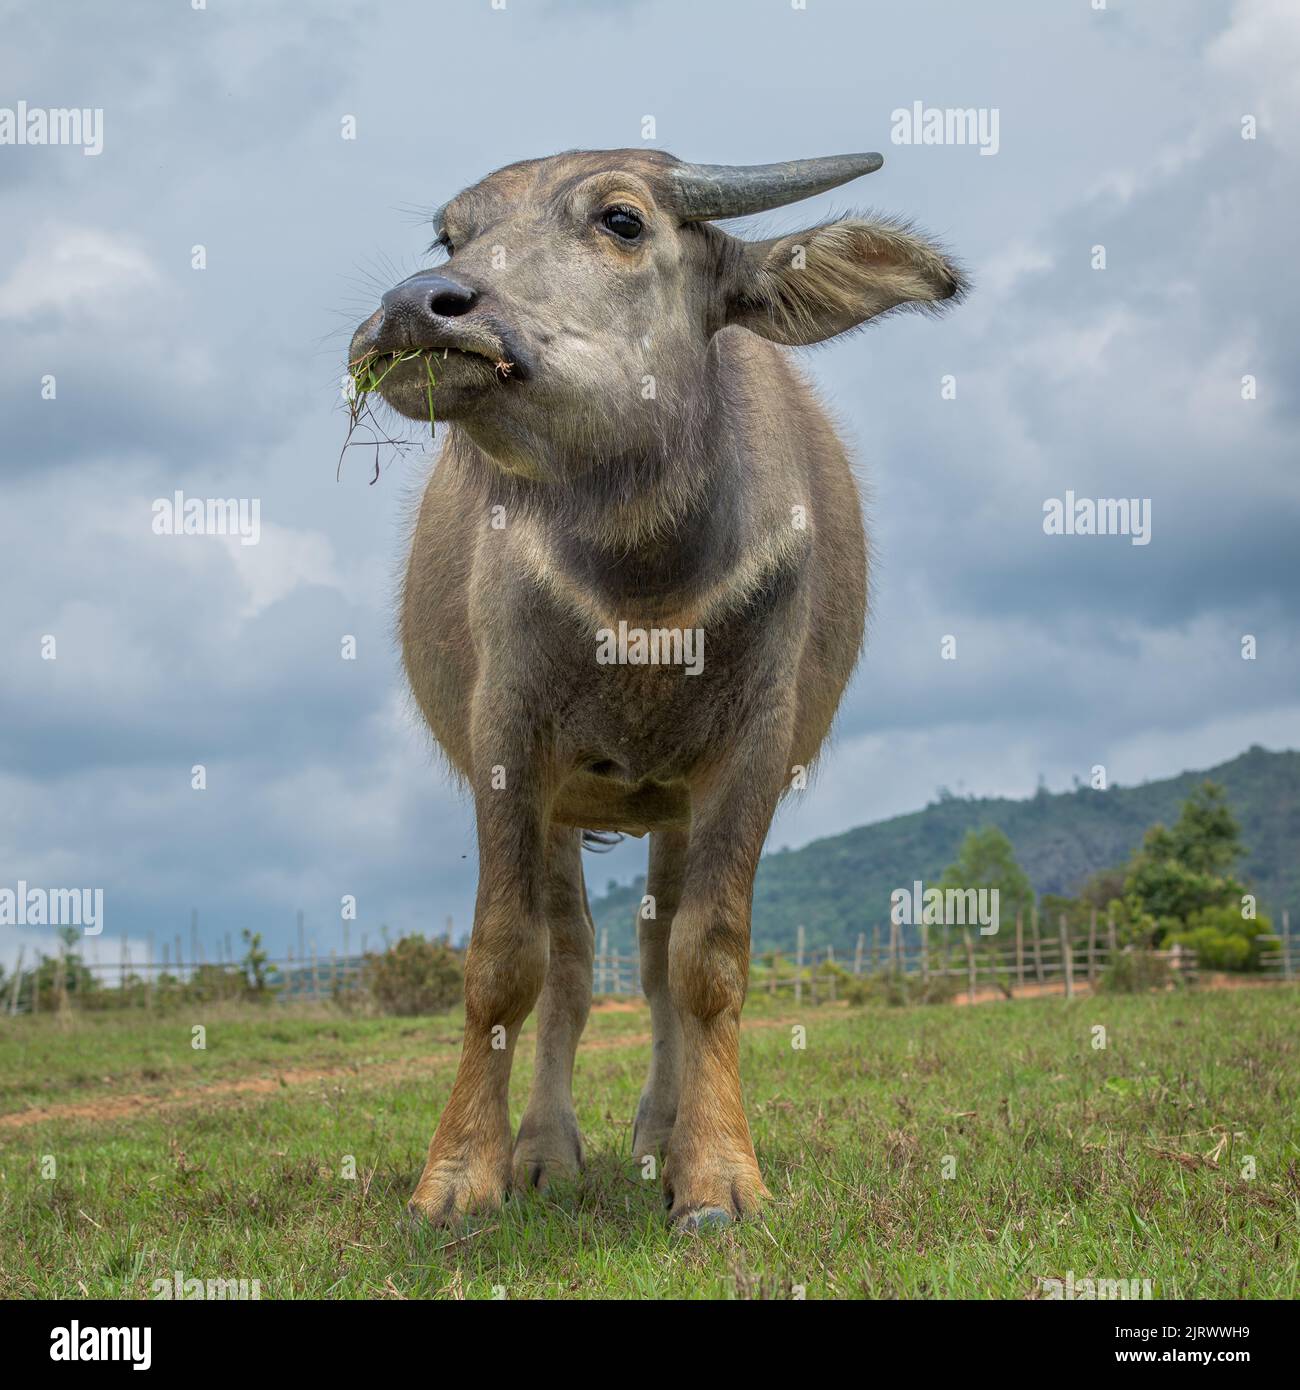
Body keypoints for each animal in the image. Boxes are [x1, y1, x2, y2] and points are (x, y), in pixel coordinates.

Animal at [350, 143, 962, 1228]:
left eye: (622, 220)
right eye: (452, 235)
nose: (419, 307)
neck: (646, 583)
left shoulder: (753, 750)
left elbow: (705, 960)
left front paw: (714, 1173)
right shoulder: (507, 743)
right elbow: (504, 963)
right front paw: (460, 1173)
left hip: (672, 805)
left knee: (652, 951)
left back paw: (658, 1134)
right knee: (571, 960)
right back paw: (545, 1151)